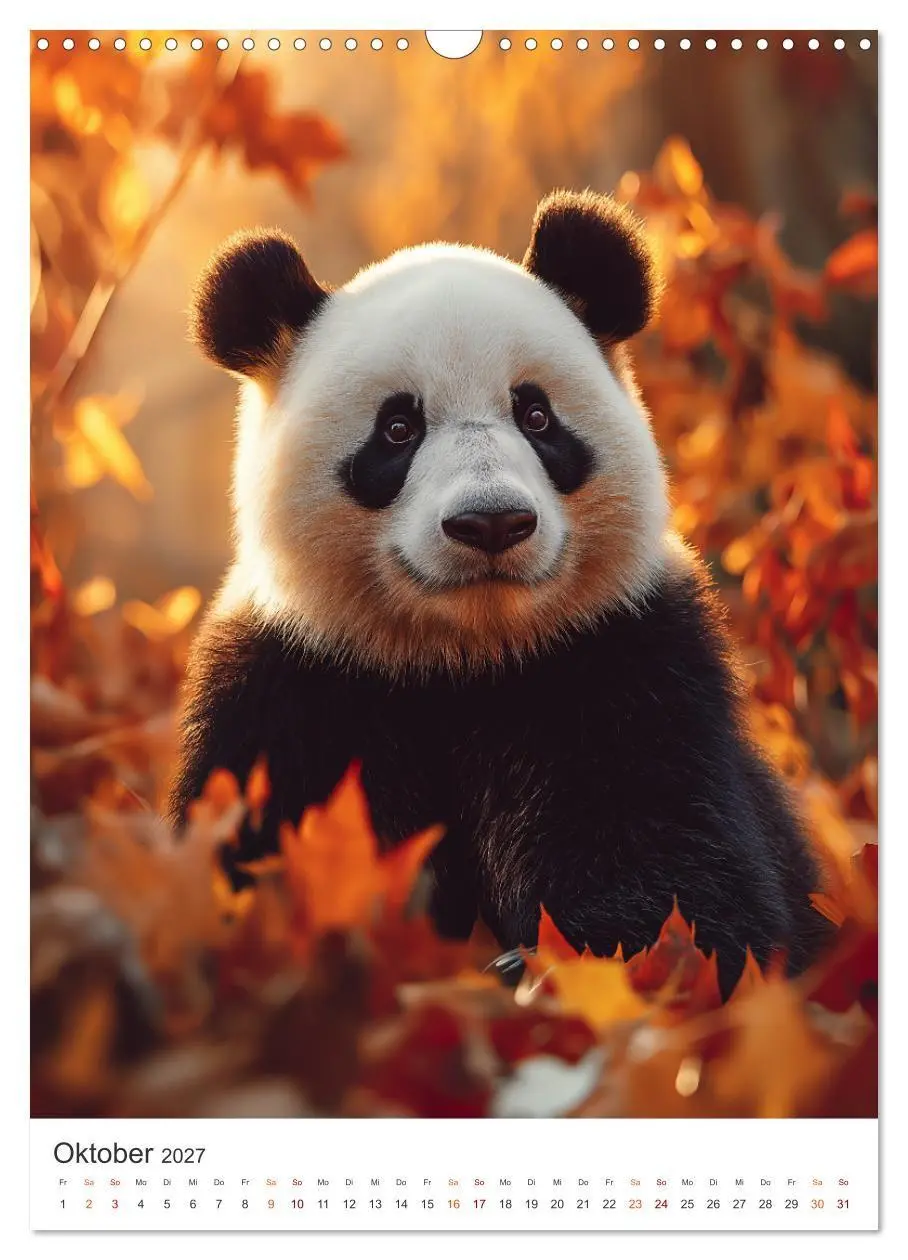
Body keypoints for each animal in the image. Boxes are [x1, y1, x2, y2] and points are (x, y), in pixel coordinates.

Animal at [170, 190, 830, 997]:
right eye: (398, 427)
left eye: (536, 415)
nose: (491, 522)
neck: (468, 652)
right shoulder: (295, 683)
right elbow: (261, 842)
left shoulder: (625, 656)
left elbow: (667, 853)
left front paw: (564, 963)